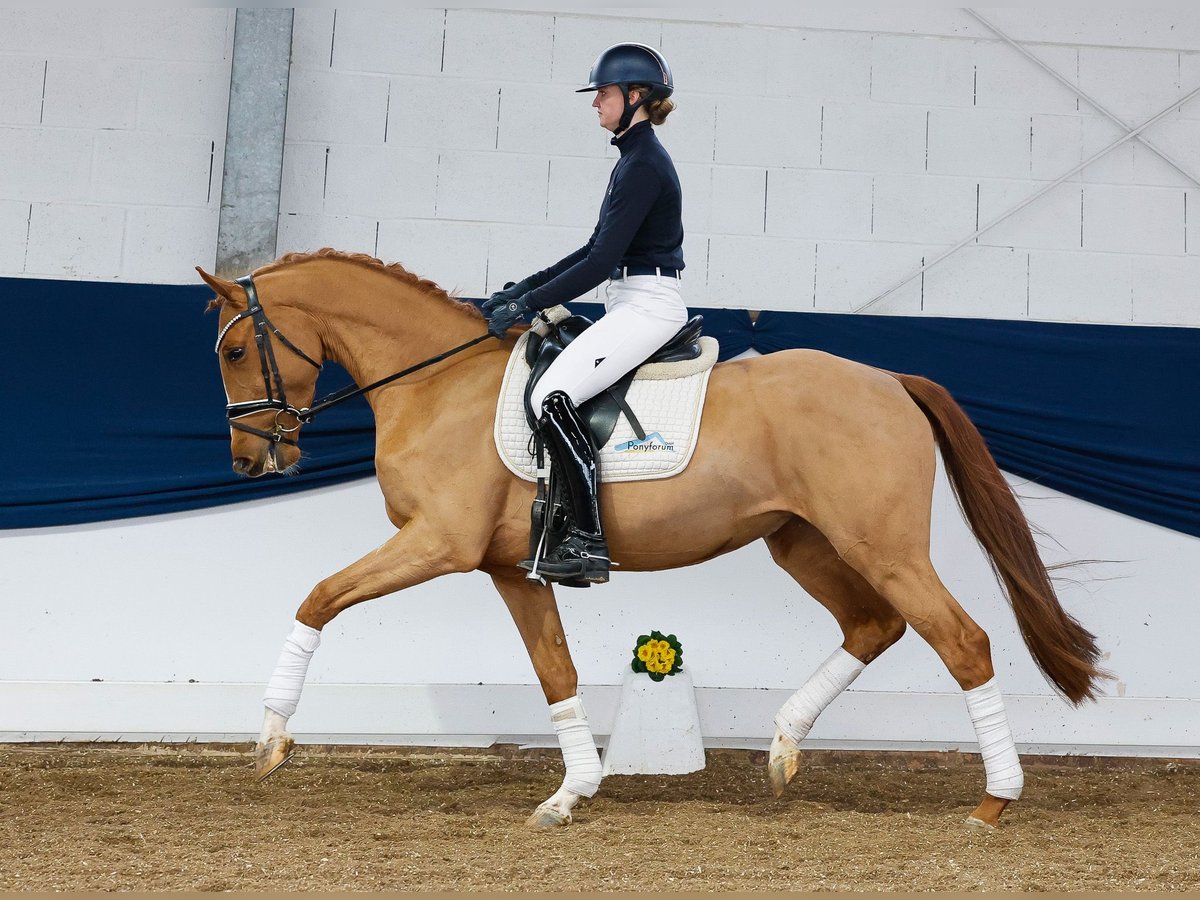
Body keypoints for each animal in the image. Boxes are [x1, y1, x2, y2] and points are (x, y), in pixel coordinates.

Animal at [199, 247, 1104, 830]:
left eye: (238, 350)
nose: (250, 460)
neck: (435, 383)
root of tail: (890, 380)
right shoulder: (510, 569)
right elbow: (555, 671)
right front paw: (571, 794)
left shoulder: (438, 543)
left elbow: (317, 598)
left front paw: (271, 740)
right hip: (802, 543)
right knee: (873, 625)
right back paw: (783, 749)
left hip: (882, 546)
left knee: (963, 641)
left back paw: (995, 801)